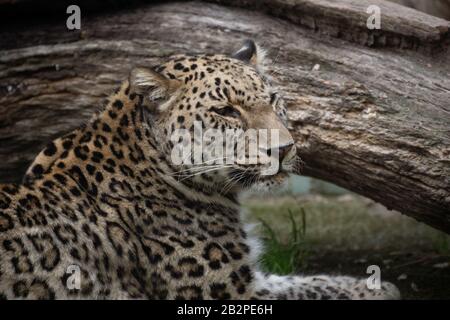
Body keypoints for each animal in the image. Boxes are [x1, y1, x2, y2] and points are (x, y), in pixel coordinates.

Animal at [0, 40, 400, 300]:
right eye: (226, 111)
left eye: (273, 100)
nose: (284, 149)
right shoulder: (231, 293)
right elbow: (300, 291)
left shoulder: (252, 280)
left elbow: (303, 281)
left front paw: (375, 285)